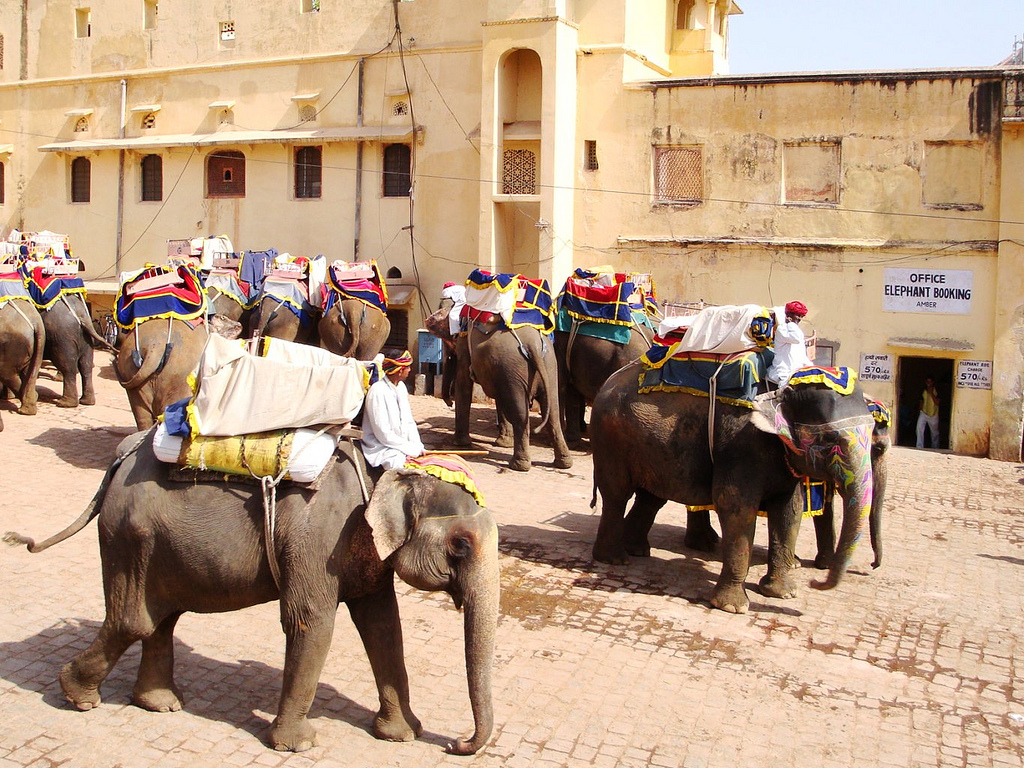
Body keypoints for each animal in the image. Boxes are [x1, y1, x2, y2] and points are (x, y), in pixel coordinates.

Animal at [4, 434, 499, 757]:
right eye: (460, 544)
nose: (455, 744)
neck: (388, 470)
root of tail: (121, 458)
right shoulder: (317, 539)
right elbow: (312, 622)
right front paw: (299, 745)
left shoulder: (363, 552)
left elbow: (382, 625)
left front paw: (402, 734)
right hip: (131, 538)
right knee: (133, 620)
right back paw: (80, 698)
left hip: (155, 545)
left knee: (160, 619)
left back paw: (159, 704)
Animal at [593, 360, 880, 614]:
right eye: (830, 438)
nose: (815, 581)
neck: (781, 392)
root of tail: (609, 380)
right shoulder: (741, 446)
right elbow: (735, 507)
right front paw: (733, 607)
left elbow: (790, 510)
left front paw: (783, 593)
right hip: (612, 438)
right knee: (617, 495)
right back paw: (614, 558)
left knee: (650, 498)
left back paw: (637, 551)